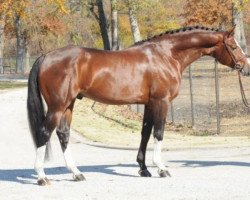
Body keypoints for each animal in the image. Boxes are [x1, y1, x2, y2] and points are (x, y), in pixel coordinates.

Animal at [27, 25, 250, 185]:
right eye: (234, 46)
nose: (246, 68)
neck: (166, 55)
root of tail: (46, 56)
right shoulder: (161, 102)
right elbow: (158, 133)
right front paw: (161, 168)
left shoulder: (149, 104)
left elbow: (145, 134)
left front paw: (144, 169)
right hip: (58, 105)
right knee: (44, 133)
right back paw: (42, 177)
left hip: (69, 105)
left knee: (63, 134)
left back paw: (76, 173)